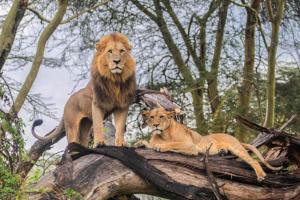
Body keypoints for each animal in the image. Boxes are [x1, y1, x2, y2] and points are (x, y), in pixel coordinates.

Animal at [137, 108, 282, 181]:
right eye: (151, 117)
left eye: (161, 116)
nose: (155, 125)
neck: (164, 134)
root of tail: (235, 138)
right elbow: (149, 144)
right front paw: (140, 143)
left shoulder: (190, 146)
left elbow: (172, 144)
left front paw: (160, 146)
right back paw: (222, 151)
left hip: (238, 149)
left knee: (253, 161)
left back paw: (261, 175)